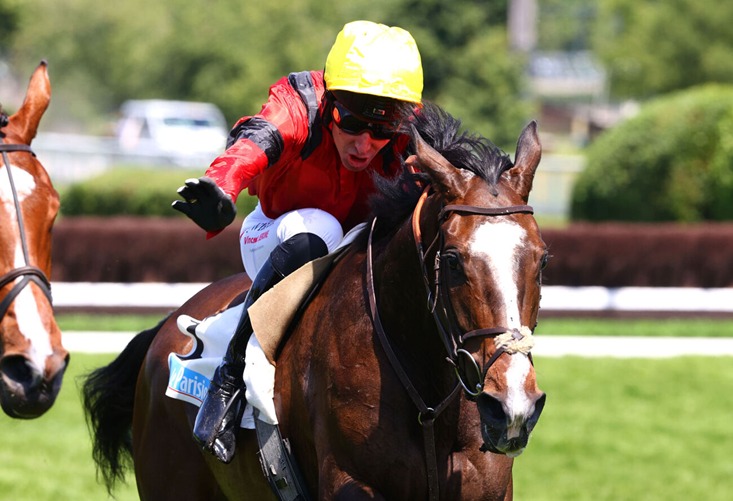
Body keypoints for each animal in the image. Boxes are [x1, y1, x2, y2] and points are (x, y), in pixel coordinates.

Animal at [82, 103, 547, 500]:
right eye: (452, 260)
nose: (512, 407)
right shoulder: (351, 483)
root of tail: (168, 327)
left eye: (543, 259)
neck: (429, 406)